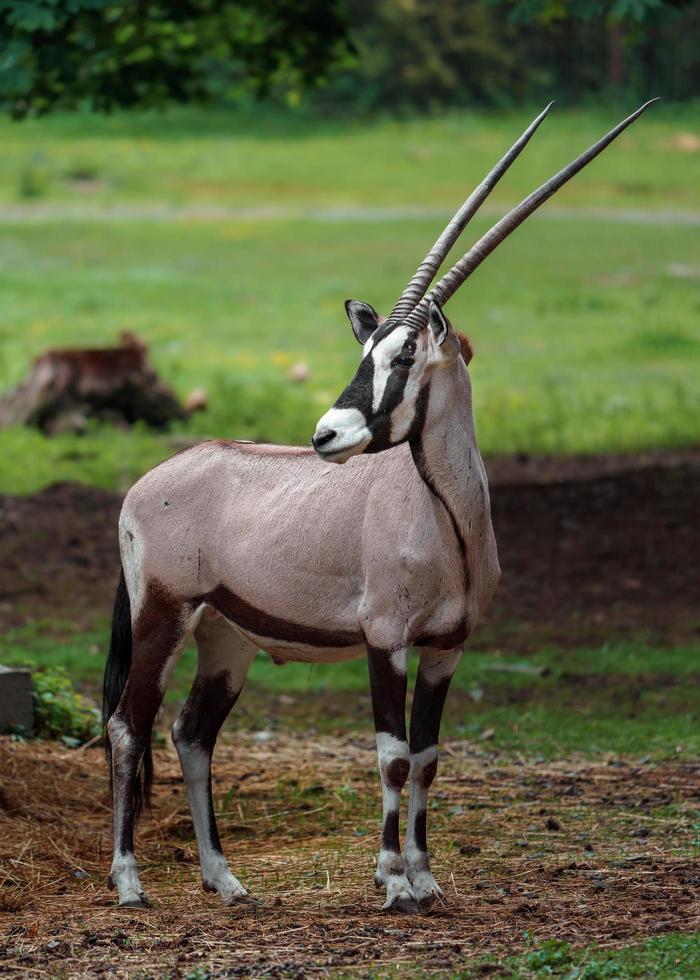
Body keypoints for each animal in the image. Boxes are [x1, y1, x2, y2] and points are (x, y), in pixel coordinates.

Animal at [102, 99, 656, 912]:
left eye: (404, 356)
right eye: (365, 353)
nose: (327, 434)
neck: (449, 520)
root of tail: (143, 486)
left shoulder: (448, 647)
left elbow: (428, 756)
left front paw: (425, 876)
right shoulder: (385, 639)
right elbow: (392, 755)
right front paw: (393, 880)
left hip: (227, 640)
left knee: (191, 733)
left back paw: (224, 878)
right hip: (162, 617)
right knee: (127, 725)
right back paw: (129, 881)